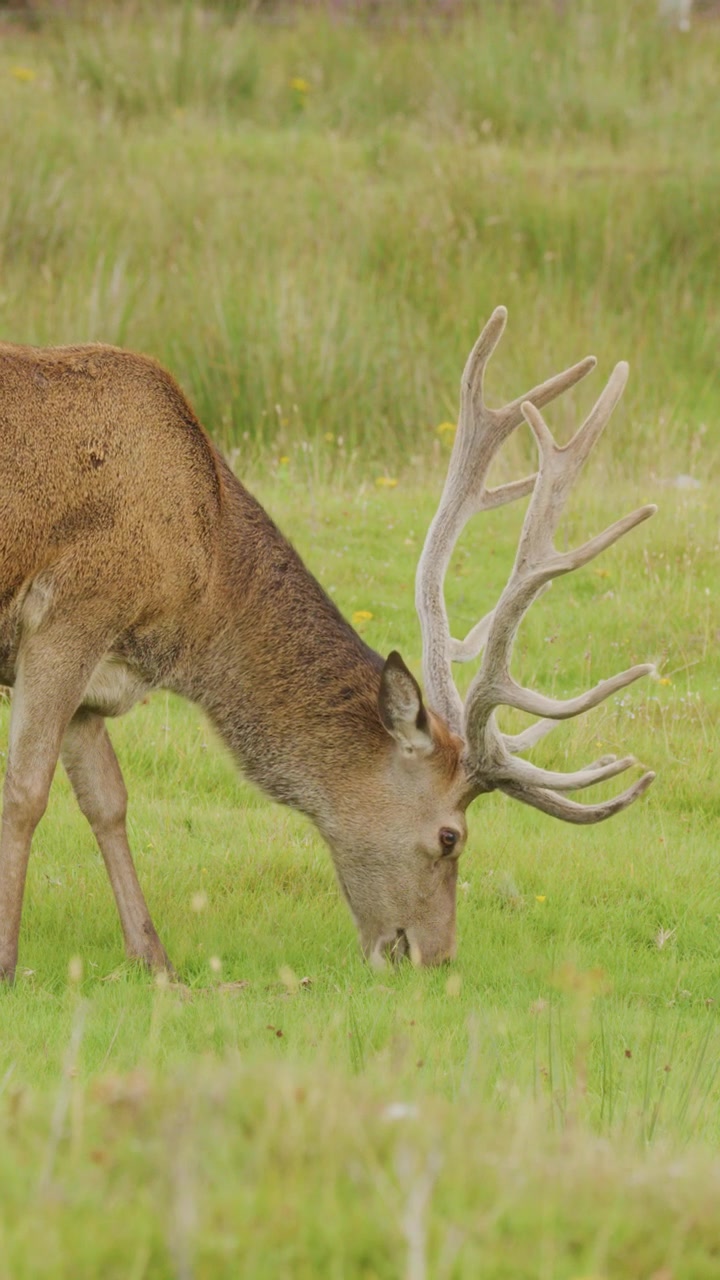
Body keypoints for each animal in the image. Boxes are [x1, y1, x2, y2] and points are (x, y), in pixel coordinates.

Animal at [0, 306, 656, 981]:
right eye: (451, 836)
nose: (434, 956)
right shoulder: (72, 616)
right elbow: (25, 794)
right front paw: (7, 962)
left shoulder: (97, 677)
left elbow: (108, 801)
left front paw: (156, 961)